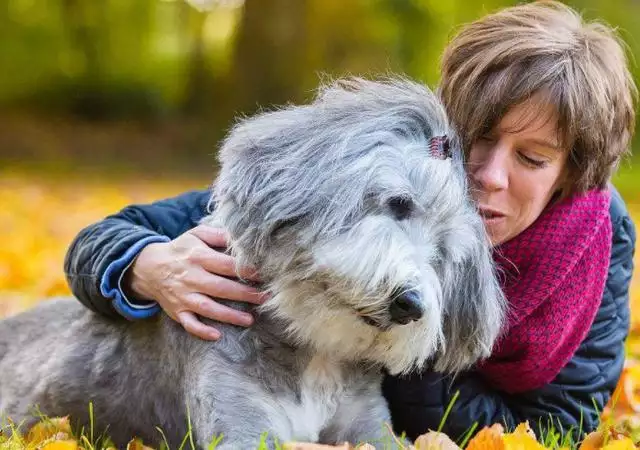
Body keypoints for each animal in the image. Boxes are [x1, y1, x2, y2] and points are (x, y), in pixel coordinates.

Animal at [0, 79, 504, 448]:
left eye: (441, 254)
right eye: (398, 203)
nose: (410, 304)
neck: (315, 351)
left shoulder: (370, 427)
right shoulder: (241, 427)